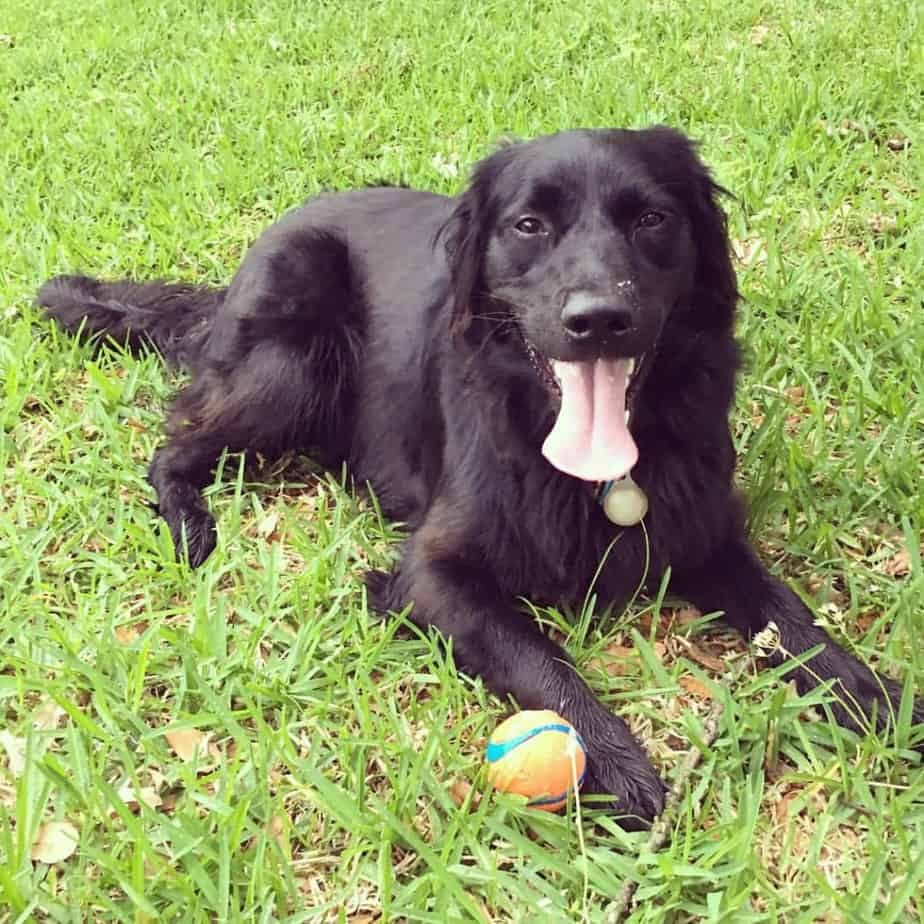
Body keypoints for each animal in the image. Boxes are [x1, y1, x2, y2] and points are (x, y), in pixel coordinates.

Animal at [39, 128, 920, 824]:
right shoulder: (433, 573)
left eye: (652, 219)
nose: (598, 320)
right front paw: (617, 766)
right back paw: (190, 524)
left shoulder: (705, 531)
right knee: (173, 444)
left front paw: (873, 695)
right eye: (529, 225)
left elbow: (793, 622)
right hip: (291, 367)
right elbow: (539, 658)